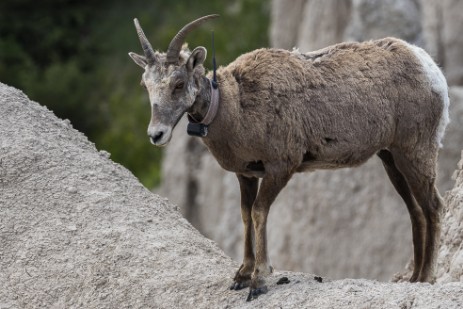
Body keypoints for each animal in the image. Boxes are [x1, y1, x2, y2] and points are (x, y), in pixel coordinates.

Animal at [128, 14, 450, 298]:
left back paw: (426, 279)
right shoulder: (246, 174)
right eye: (146, 85)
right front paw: (241, 276)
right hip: (391, 159)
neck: (236, 106)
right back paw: (414, 278)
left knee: (433, 206)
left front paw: (258, 281)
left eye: (179, 83)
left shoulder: (280, 167)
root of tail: (431, 69)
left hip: (415, 152)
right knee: (416, 211)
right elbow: (245, 215)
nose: (156, 134)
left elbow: (259, 213)